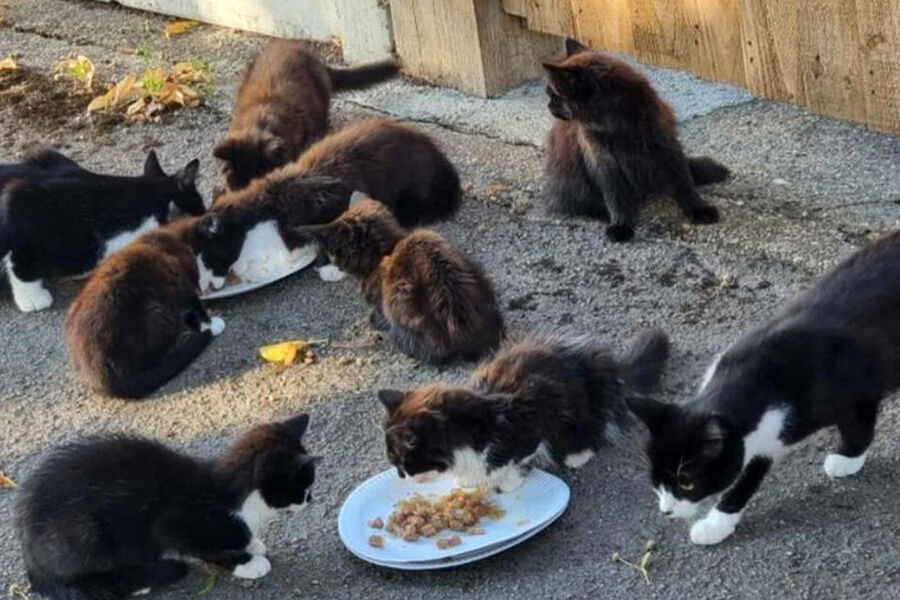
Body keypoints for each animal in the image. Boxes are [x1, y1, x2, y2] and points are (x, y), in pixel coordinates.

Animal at [15, 413, 319, 599]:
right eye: (303, 487)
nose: (310, 500)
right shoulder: (174, 524)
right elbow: (202, 549)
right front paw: (246, 561)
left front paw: (252, 543)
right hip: (83, 532)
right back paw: (136, 583)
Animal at [66, 220, 223, 399]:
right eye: (219, 259)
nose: (221, 282)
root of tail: (100, 375)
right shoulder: (180, 280)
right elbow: (194, 303)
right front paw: (211, 324)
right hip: (157, 312)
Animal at [378, 328, 670, 492]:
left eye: (402, 463)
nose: (400, 476)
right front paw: (468, 481)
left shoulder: (530, 428)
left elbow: (515, 462)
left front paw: (506, 483)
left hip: (573, 412)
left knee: (595, 427)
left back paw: (577, 456)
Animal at [542, 38, 730, 243]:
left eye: (555, 96)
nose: (548, 105)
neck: (616, 123)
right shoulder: (604, 163)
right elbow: (617, 198)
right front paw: (621, 225)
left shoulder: (666, 148)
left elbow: (684, 183)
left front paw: (699, 209)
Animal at [627, 229, 900, 546]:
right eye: (656, 479)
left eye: (687, 482)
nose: (666, 511)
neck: (757, 376)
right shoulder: (763, 434)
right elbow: (751, 468)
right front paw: (719, 523)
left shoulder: (857, 390)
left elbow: (858, 428)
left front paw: (847, 459)